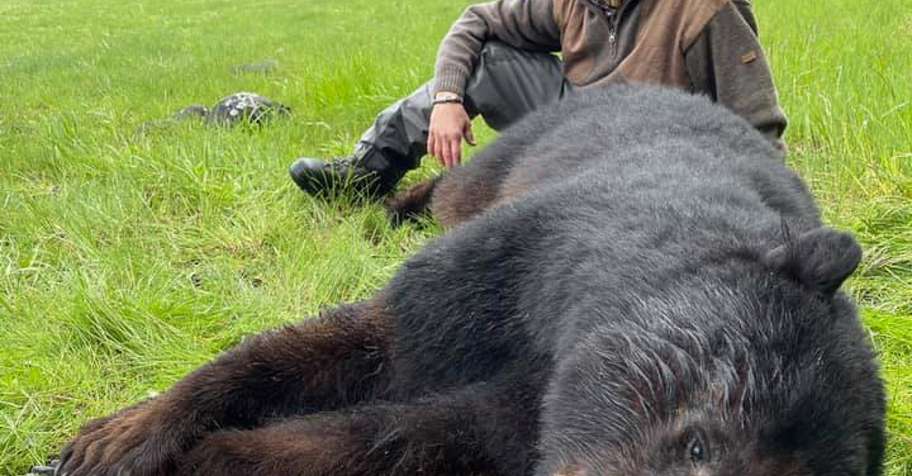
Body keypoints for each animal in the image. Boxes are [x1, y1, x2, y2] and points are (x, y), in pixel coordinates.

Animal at [55, 85, 885, 476]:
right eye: (699, 444)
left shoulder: (534, 410)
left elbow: (412, 434)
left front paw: (225, 456)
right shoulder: (518, 266)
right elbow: (357, 342)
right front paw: (119, 437)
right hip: (506, 161)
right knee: (448, 186)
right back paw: (379, 207)